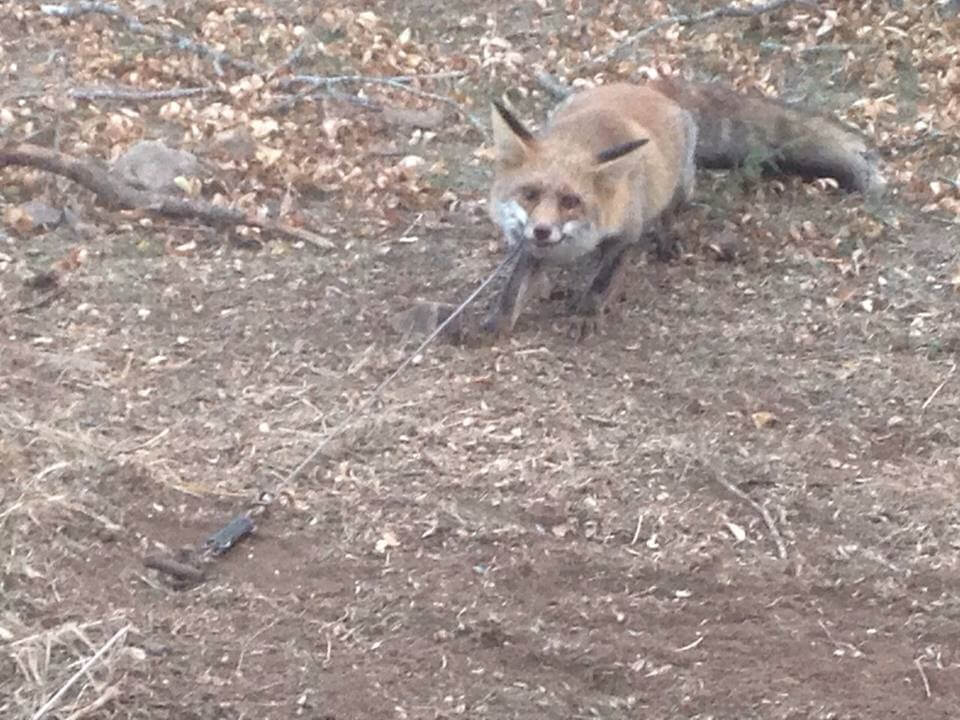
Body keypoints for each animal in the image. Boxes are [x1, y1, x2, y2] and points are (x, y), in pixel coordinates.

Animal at [483, 79, 884, 338]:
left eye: (571, 202)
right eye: (530, 194)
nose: (542, 229)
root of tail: (650, 87)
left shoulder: (627, 231)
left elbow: (603, 279)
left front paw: (588, 313)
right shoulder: (529, 246)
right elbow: (514, 288)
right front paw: (495, 324)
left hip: (679, 186)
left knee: (670, 215)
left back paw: (666, 242)